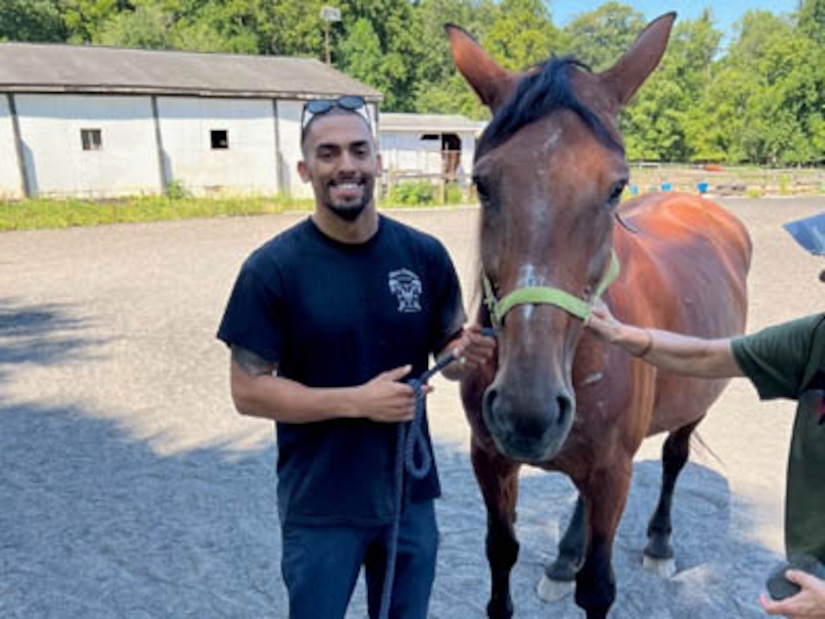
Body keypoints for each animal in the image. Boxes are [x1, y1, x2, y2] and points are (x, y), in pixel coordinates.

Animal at [448, 10, 748, 619]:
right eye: (482, 183)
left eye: (615, 188)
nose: (527, 412)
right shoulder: (490, 459)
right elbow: (501, 554)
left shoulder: (614, 473)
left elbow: (599, 586)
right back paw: (565, 557)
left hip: (694, 404)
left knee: (676, 456)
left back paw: (659, 542)